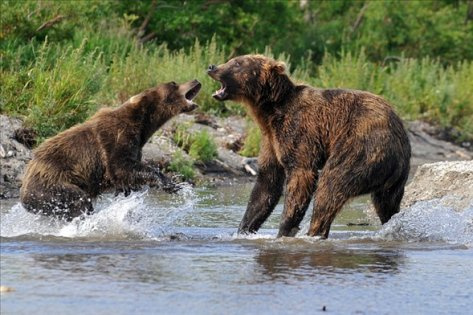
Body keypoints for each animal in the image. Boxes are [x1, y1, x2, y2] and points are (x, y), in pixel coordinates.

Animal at [19, 80, 201, 221]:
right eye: (173, 83)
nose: (196, 80)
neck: (142, 124)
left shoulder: (135, 145)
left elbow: (128, 178)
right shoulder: (116, 138)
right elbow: (121, 166)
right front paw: (172, 184)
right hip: (52, 185)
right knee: (78, 201)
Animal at [206, 56, 410, 239]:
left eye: (238, 63)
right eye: (233, 59)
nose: (212, 66)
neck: (270, 111)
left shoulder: (300, 130)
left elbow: (300, 174)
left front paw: (283, 230)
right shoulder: (270, 141)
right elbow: (266, 184)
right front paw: (243, 230)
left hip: (362, 147)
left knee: (331, 185)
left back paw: (314, 232)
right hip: (393, 182)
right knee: (387, 205)